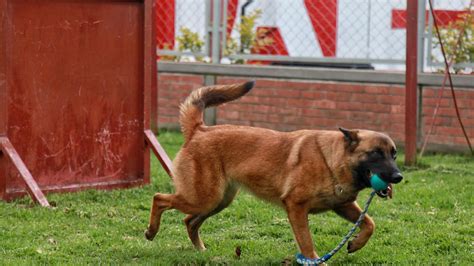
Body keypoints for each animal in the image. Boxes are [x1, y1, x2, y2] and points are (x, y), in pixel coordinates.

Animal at [145, 81, 404, 260]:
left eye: (394, 154)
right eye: (375, 153)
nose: (398, 177)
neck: (331, 159)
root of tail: (199, 130)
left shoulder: (343, 205)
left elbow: (370, 223)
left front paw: (356, 243)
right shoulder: (296, 207)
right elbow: (306, 242)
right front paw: (314, 260)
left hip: (217, 201)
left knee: (189, 221)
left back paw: (200, 249)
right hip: (203, 198)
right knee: (159, 198)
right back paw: (151, 232)